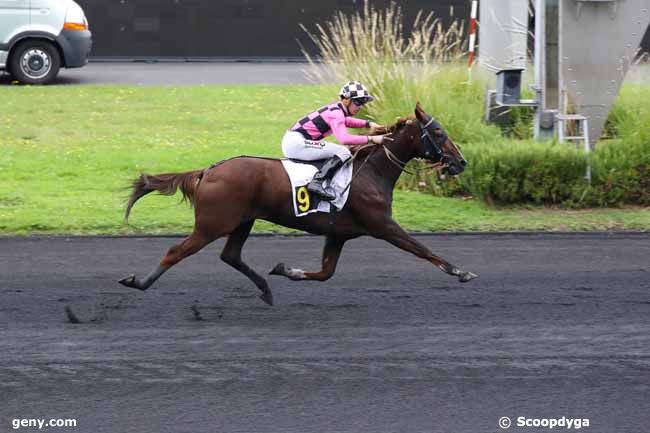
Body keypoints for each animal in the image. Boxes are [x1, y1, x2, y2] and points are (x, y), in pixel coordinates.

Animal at [119, 103, 476, 304]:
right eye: (439, 132)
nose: (461, 162)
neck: (371, 171)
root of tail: (208, 170)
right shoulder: (382, 225)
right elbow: (422, 249)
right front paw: (461, 271)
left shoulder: (339, 234)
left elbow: (326, 273)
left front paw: (285, 270)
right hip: (213, 224)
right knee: (175, 252)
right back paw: (139, 282)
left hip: (243, 221)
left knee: (230, 255)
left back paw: (266, 289)